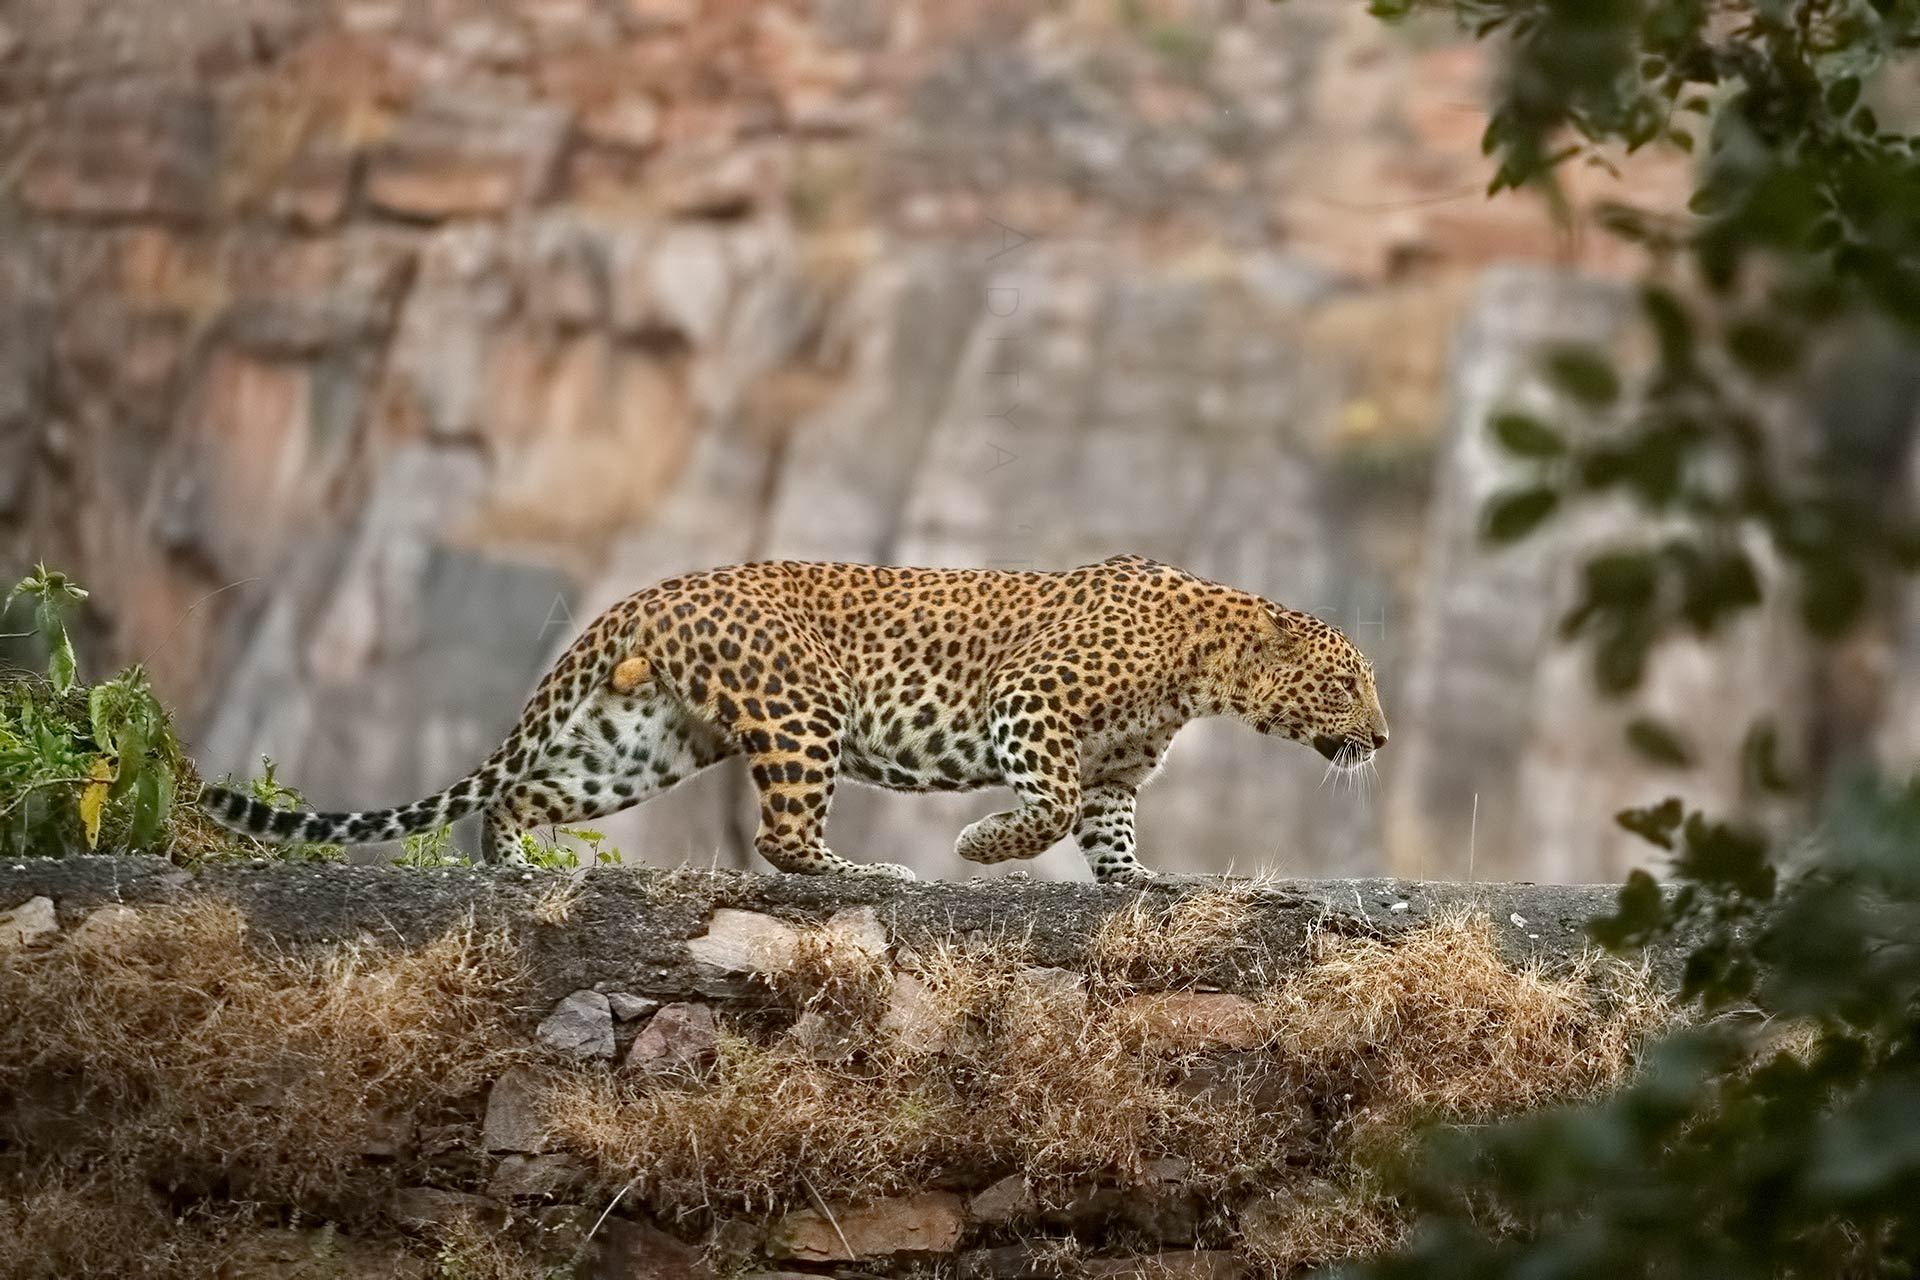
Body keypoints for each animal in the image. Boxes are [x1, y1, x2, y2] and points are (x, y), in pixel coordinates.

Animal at [199, 554, 1388, 884]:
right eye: (1346, 684)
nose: (1380, 739)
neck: (1205, 665)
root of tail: (654, 592)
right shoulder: (1032, 704)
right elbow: (1046, 808)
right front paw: (980, 845)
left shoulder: (1112, 771)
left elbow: (1106, 833)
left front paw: (1142, 883)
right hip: (798, 708)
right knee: (781, 837)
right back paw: (876, 871)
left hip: (645, 738)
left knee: (530, 791)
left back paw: (521, 863)